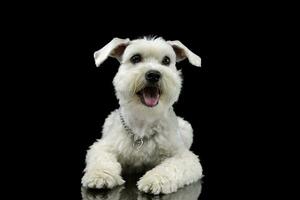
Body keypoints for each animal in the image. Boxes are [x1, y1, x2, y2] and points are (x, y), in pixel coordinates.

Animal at [81, 36, 204, 195]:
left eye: (166, 60)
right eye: (135, 58)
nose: (153, 74)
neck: (144, 121)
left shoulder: (184, 156)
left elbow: (171, 167)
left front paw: (155, 180)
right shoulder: (103, 146)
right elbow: (102, 159)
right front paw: (100, 176)